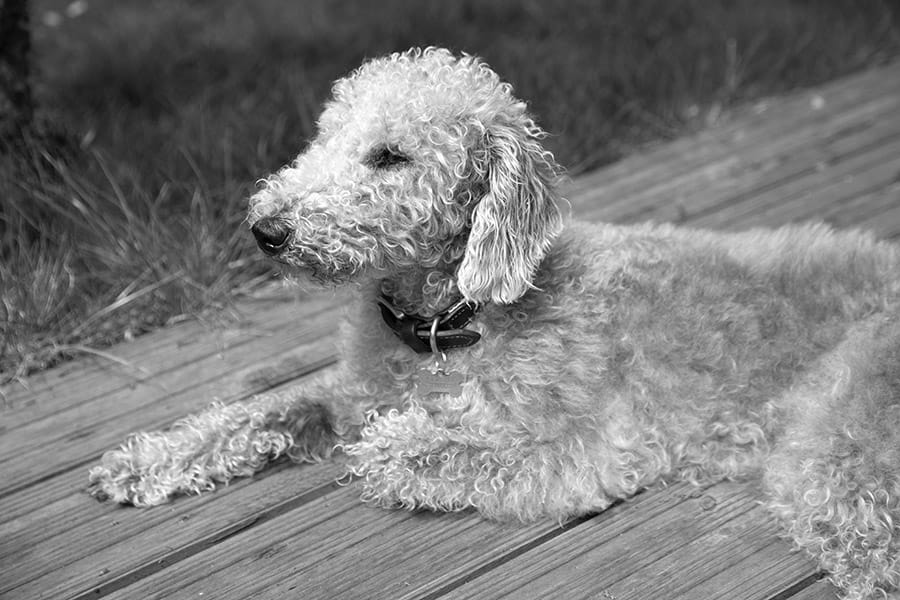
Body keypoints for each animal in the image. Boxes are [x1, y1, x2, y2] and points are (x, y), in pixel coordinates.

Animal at [89, 48, 900, 600]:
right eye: (325, 138)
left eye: (390, 155)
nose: (266, 229)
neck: (447, 323)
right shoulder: (349, 394)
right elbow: (254, 414)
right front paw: (145, 461)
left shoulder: (585, 448)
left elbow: (442, 450)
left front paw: (401, 443)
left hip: (837, 441)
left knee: (870, 543)